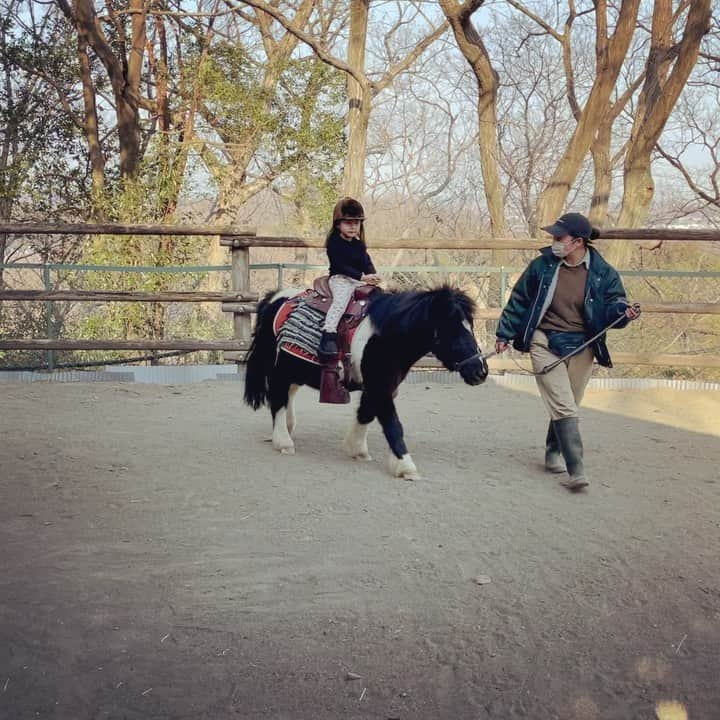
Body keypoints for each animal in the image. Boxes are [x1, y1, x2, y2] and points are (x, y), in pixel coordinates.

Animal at [243, 284, 490, 480]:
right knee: (278, 399)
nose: (480, 371)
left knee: (289, 393)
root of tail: (274, 298)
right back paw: (284, 441)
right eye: (453, 330)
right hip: (279, 368)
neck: (385, 336)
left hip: (294, 367)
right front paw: (406, 466)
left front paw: (356, 449)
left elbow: (366, 413)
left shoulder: (380, 386)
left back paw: (288, 427)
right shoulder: (379, 386)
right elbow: (393, 424)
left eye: (470, 326)